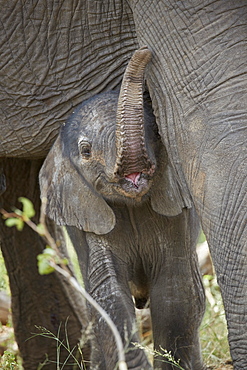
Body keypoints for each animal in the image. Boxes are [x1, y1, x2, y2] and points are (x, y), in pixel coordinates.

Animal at [40, 47, 206, 370]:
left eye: (155, 131)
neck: (131, 201)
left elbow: (175, 290)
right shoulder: (93, 219)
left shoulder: (173, 215)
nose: (144, 51)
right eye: (86, 151)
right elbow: (108, 293)